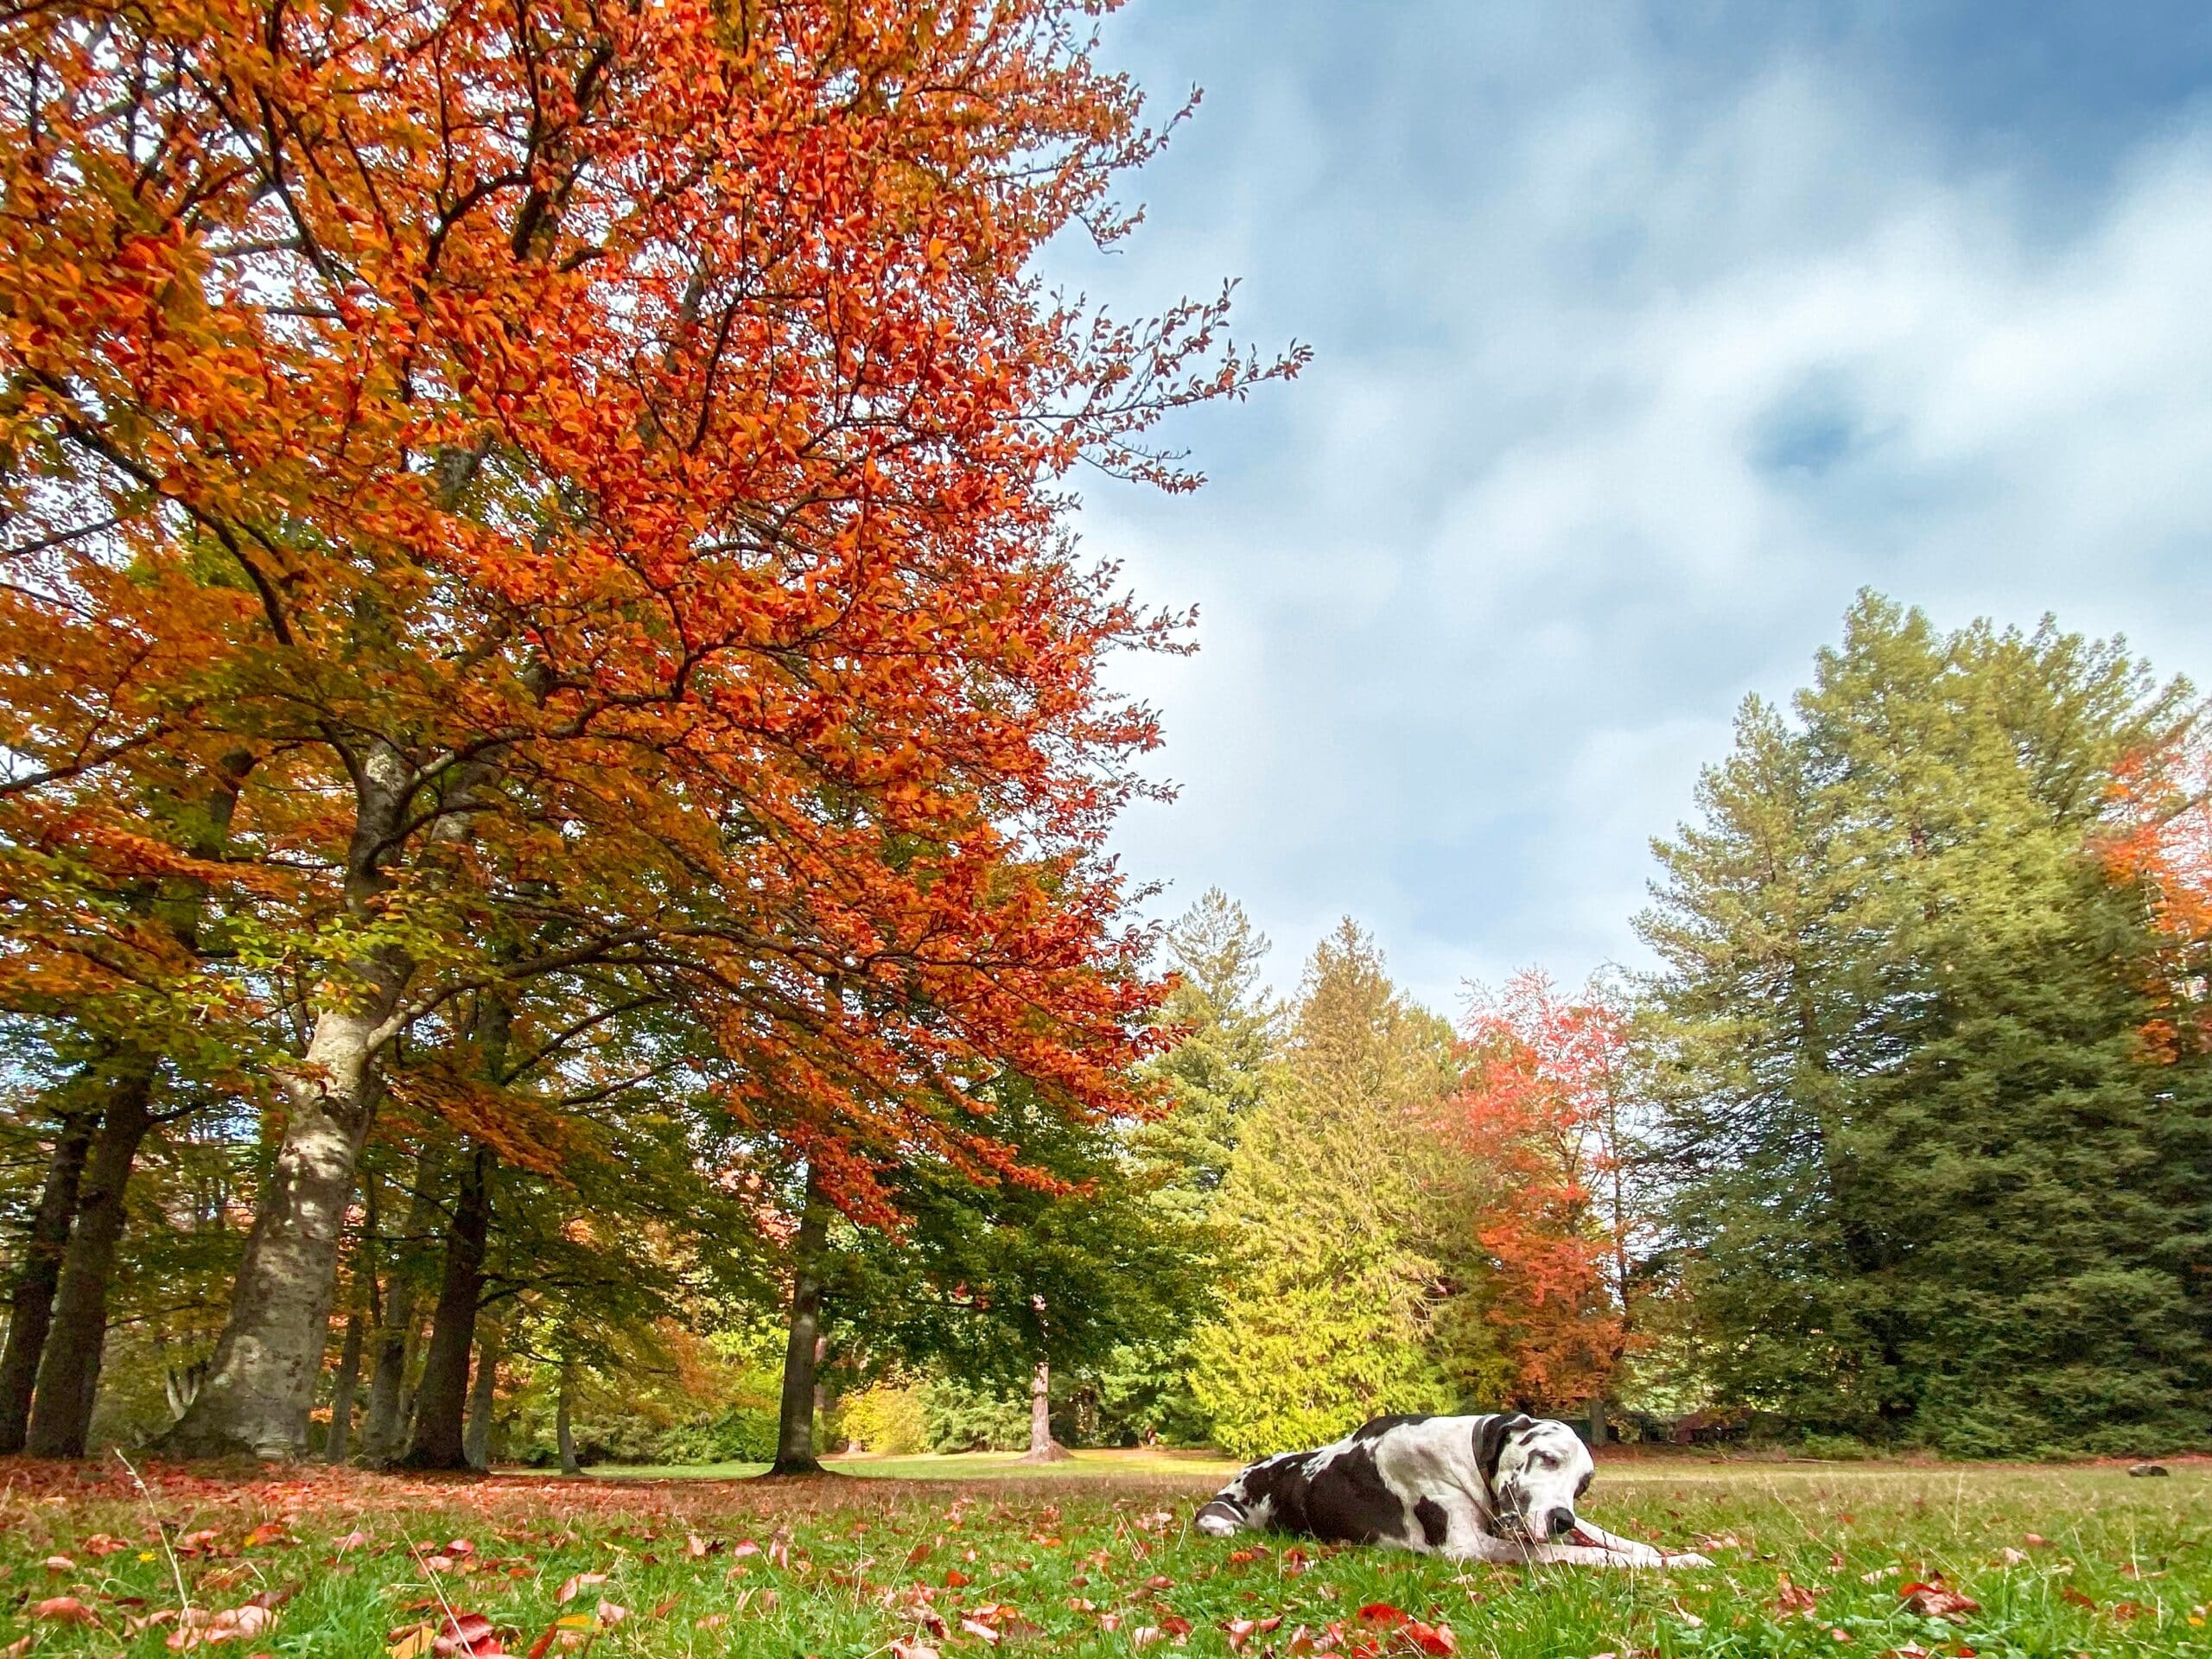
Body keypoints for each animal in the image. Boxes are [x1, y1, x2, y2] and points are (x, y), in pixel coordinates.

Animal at [1194, 1415, 1707, 1574]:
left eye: (1583, 1484)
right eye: (1546, 1458)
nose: (1562, 1518)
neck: (1467, 1454)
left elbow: (1607, 1537)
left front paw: (1677, 1555)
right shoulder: (1470, 1547)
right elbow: (1574, 1553)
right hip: (1217, 1522)